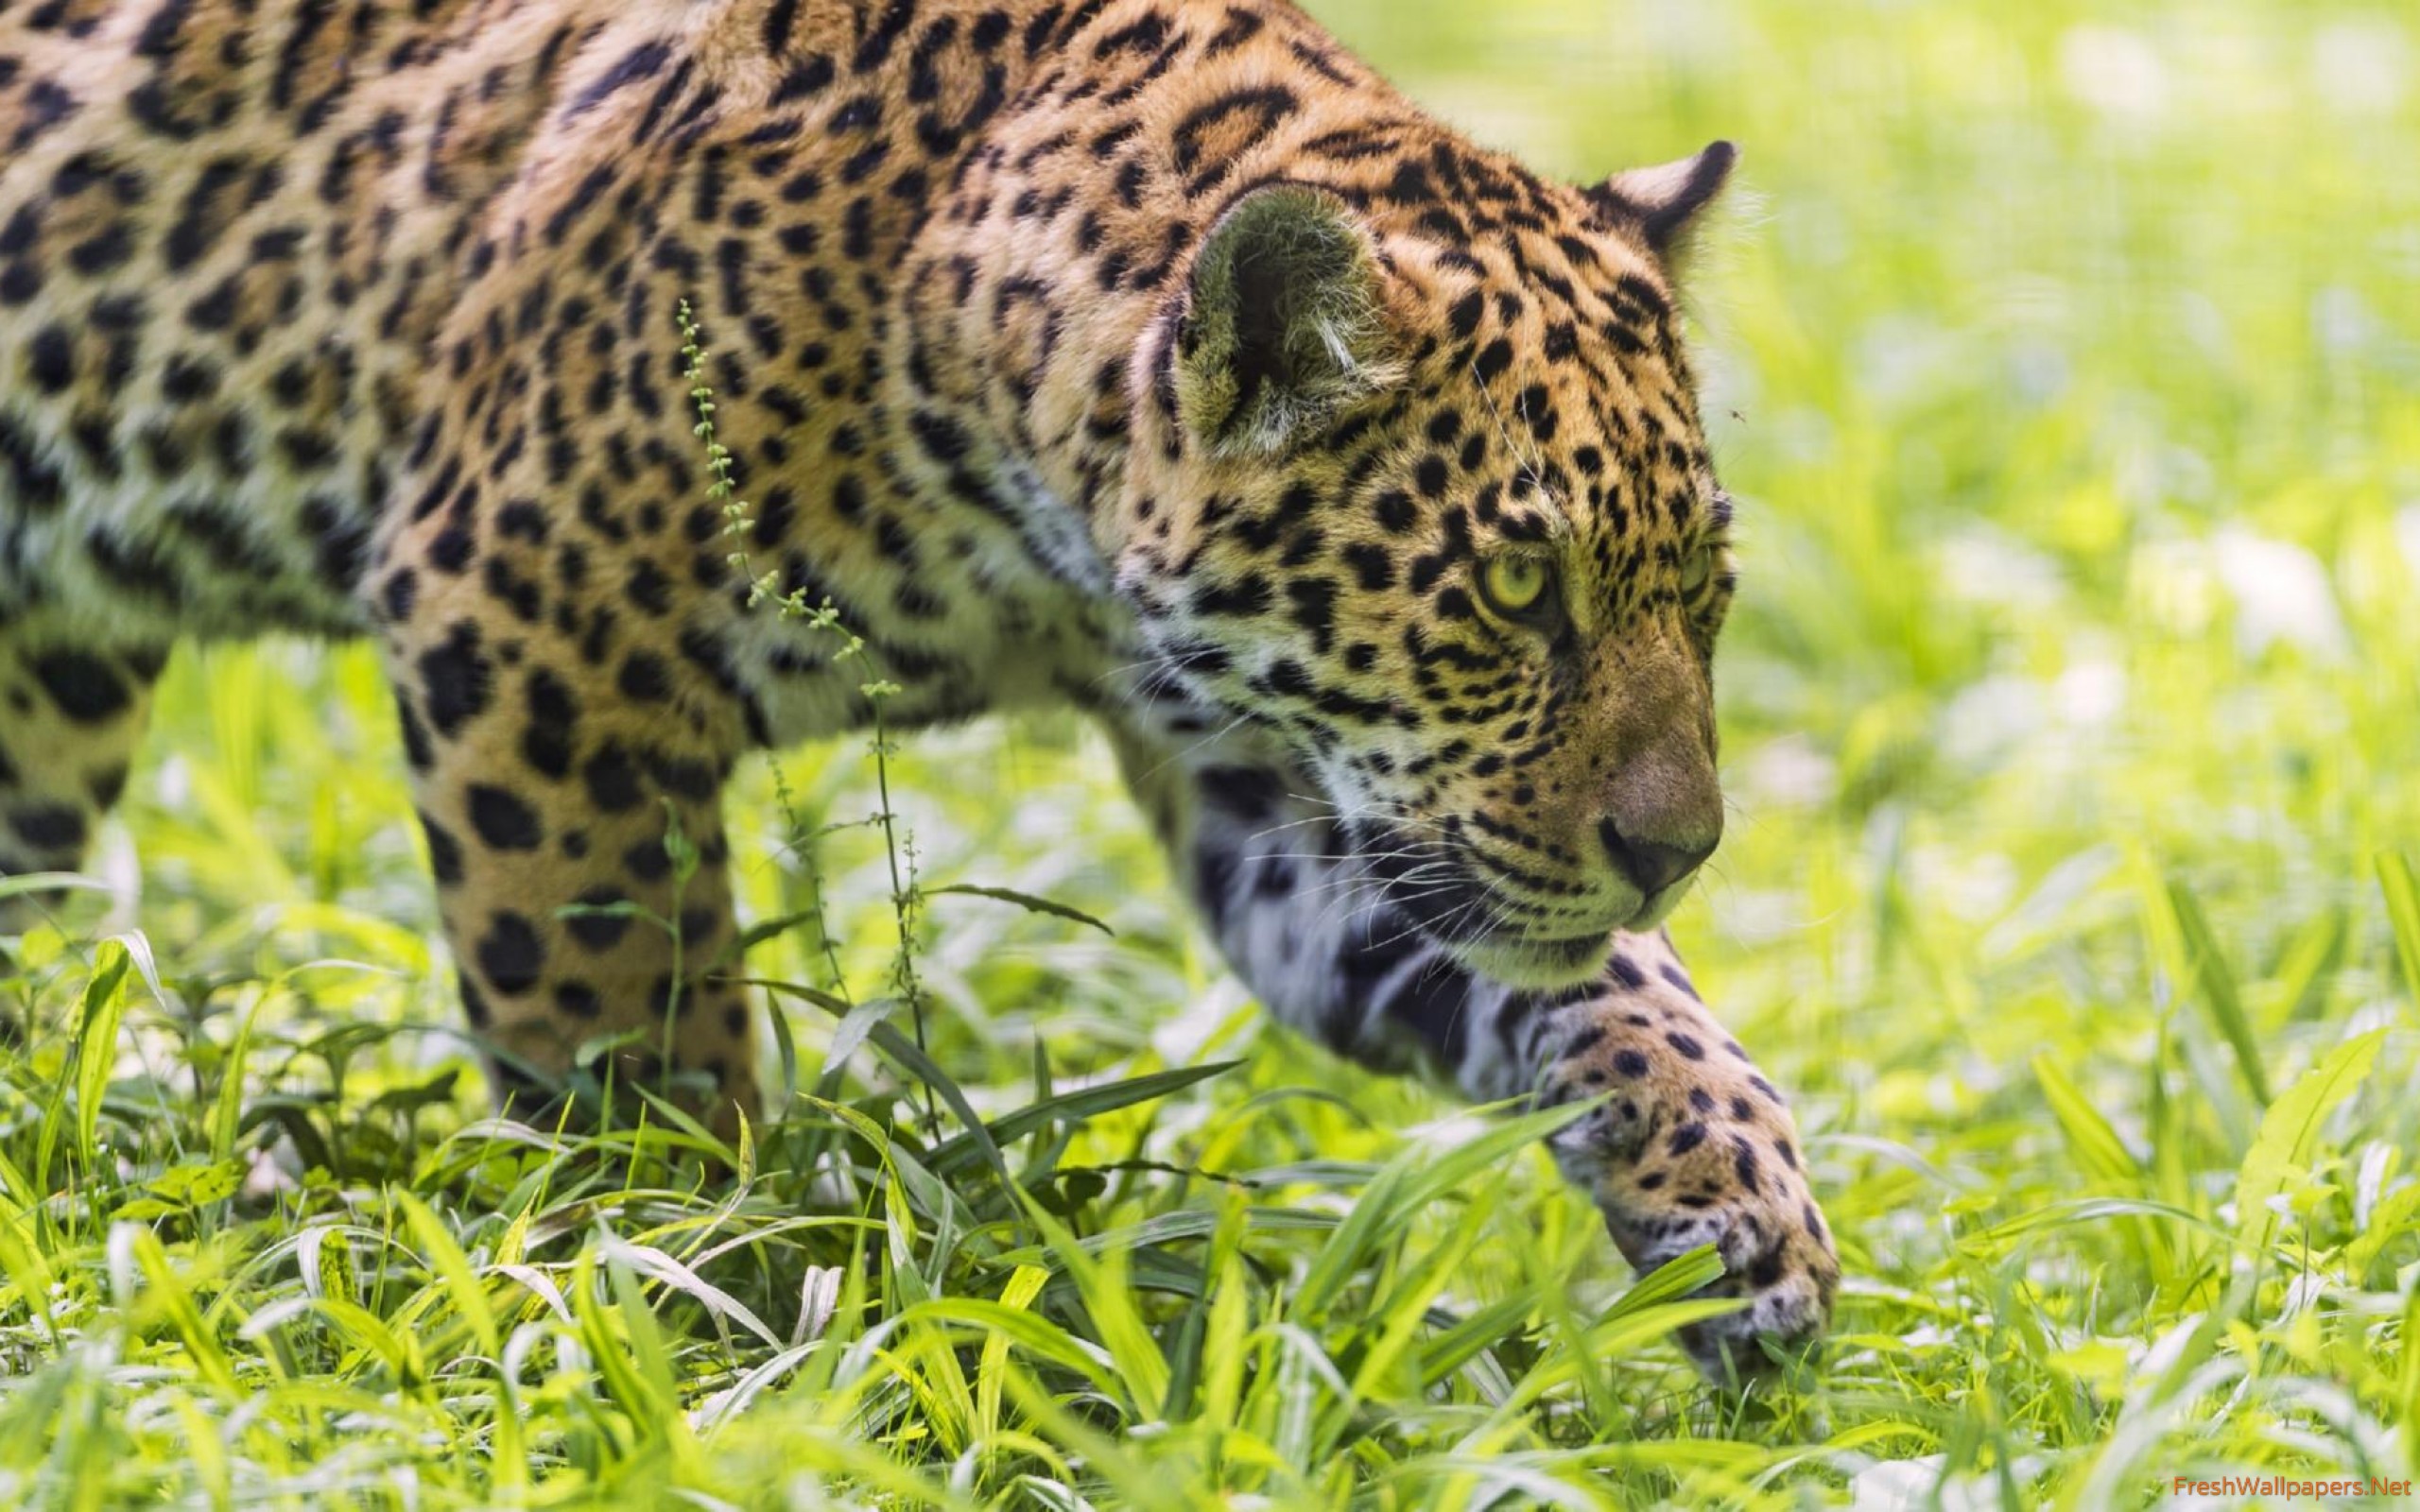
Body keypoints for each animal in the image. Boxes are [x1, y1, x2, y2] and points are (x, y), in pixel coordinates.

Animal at [0, 0, 1839, 1373]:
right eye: (1519, 591)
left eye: (1705, 585)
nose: (1680, 853)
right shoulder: (519, 611)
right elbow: (617, 1006)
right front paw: (688, 1273)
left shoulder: (1277, 781)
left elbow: (1585, 979)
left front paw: (1739, 1192)